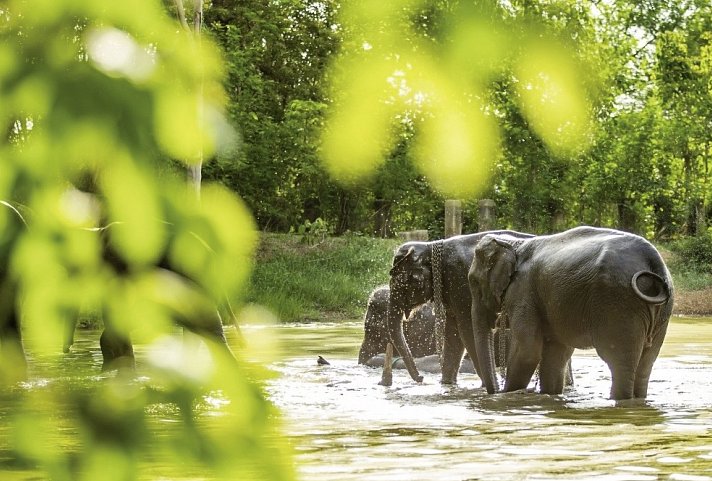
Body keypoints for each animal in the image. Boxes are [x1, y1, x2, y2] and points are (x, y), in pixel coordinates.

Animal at [384, 230, 536, 386]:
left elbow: (467, 330)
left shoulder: (460, 283)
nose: (421, 378)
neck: (429, 246)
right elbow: (453, 333)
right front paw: (446, 383)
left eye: (402, 283)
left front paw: (485, 386)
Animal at [468, 227, 672, 400]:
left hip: (618, 303)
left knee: (618, 361)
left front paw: (508, 396)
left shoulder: (522, 291)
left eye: (474, 282)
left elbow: (527, 351)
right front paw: (549, 395)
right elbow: (555, 353)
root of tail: (654, 260)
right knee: (646, 362)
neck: (513, 243)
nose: (494, 392)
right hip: (660, 314)